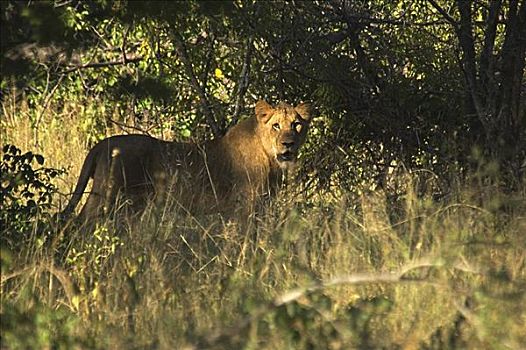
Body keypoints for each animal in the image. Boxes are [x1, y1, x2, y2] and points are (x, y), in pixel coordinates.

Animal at [61, 100, 312, 221]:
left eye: (296, 125)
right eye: (276, 126)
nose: (288, 144)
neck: (270, 158)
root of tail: (102, 143)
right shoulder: (245, 206)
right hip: (106, 195)